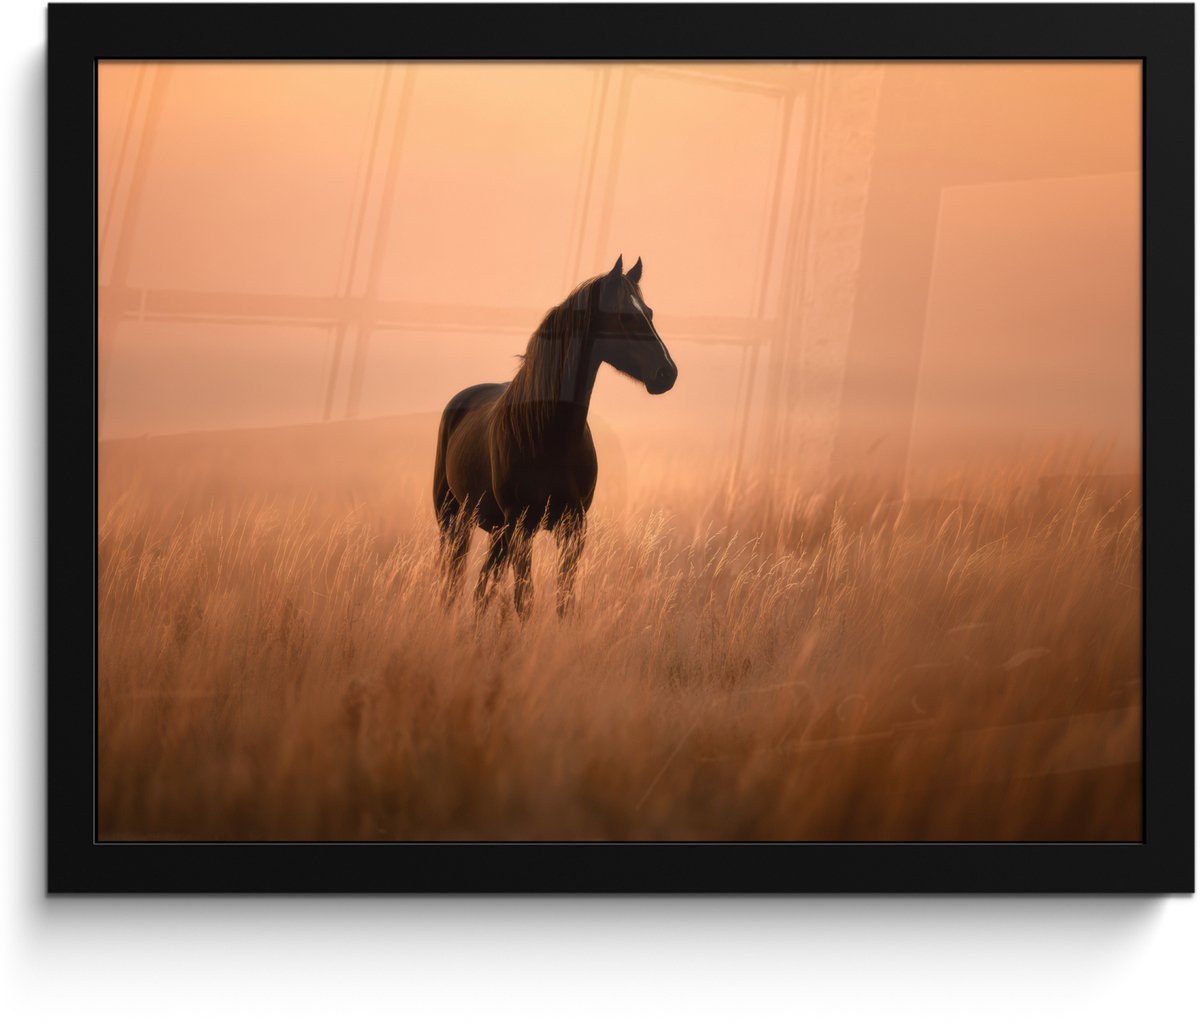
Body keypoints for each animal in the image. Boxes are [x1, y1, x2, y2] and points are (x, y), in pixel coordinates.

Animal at [432, 255, 677, 618]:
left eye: (648, 312)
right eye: (624, 315)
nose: (667, 373)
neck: (550, 435)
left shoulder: (572, 527)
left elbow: (564, 599)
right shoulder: (522, 526)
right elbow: (524, 599)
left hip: (495, 531)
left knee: (482, 587)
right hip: (455, 520)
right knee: (456, 582)